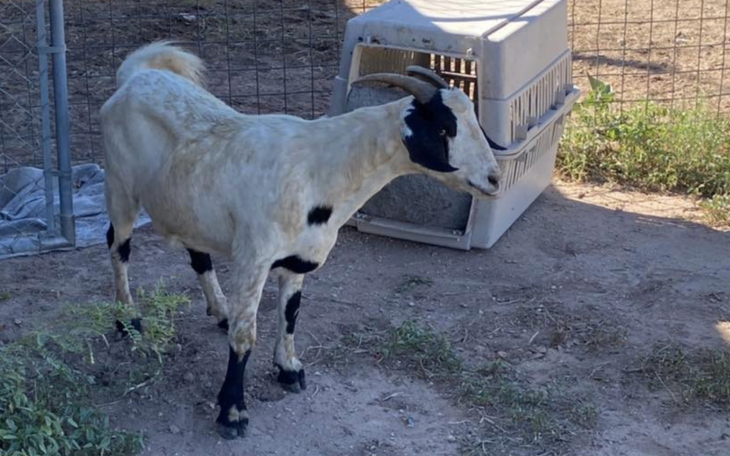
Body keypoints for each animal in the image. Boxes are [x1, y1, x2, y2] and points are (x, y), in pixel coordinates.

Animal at [101, 41, 501, 439]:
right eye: (445, 128)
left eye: (476, 123)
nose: (494, 179)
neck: (319, 170)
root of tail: (138, 75)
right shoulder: (253, 257)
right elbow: (245, 336)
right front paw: (232, 412)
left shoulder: (299, 258)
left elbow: (291, 314)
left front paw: (289, 370)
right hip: (120, 186)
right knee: (118, 244)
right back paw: (128, 320)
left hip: (187, 205)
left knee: (197, 253)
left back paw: (219, 309)